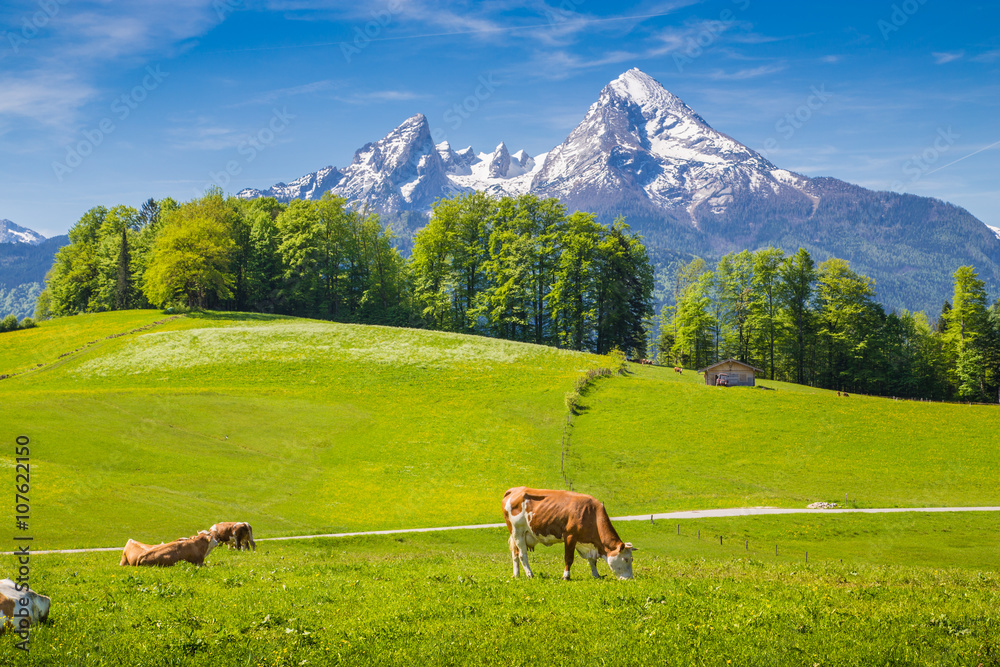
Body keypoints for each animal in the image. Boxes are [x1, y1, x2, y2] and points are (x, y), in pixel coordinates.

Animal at [502, 487, 636, 580]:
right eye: (625, 559)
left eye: (632, 559)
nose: (629, 578)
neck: (591, 514)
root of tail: (515, 489)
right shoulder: (570, 536)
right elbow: (569, 558)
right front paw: (566, 576)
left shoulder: (586, 543)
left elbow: (592, 561)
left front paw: (596, 575)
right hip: (518, 532)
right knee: (522, 555)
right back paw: (530, 574)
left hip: (517, 535)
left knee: (515, 554)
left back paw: (516, 575)